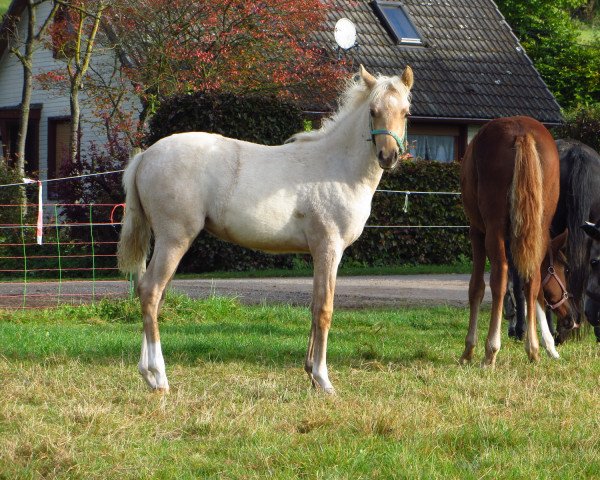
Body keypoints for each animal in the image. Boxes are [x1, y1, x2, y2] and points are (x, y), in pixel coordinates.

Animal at [460, 116, 576, 364]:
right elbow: (528, 288)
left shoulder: (477, 232)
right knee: (532, 280)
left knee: (499, 278)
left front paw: (469, 349)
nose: (571, 319)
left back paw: (491, 351)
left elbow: (477, 287)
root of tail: (522, 132)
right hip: (536, 228)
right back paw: (532, 349)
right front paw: (545, 344)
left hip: (493, 230)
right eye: (564, 268)